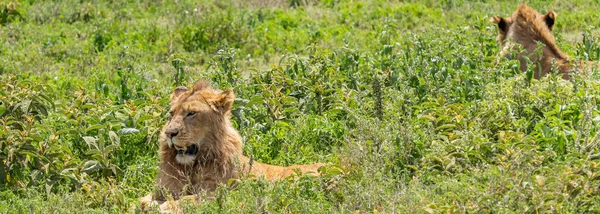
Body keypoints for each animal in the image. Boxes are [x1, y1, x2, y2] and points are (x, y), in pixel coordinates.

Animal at [140, 80, 324, 212]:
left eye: (191, 113)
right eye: (171, 114)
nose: (169, 133)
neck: (190, 167)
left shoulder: (224, 192)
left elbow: (189, 199)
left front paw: (166, 206)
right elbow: (141, 201)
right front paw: (151, 204)